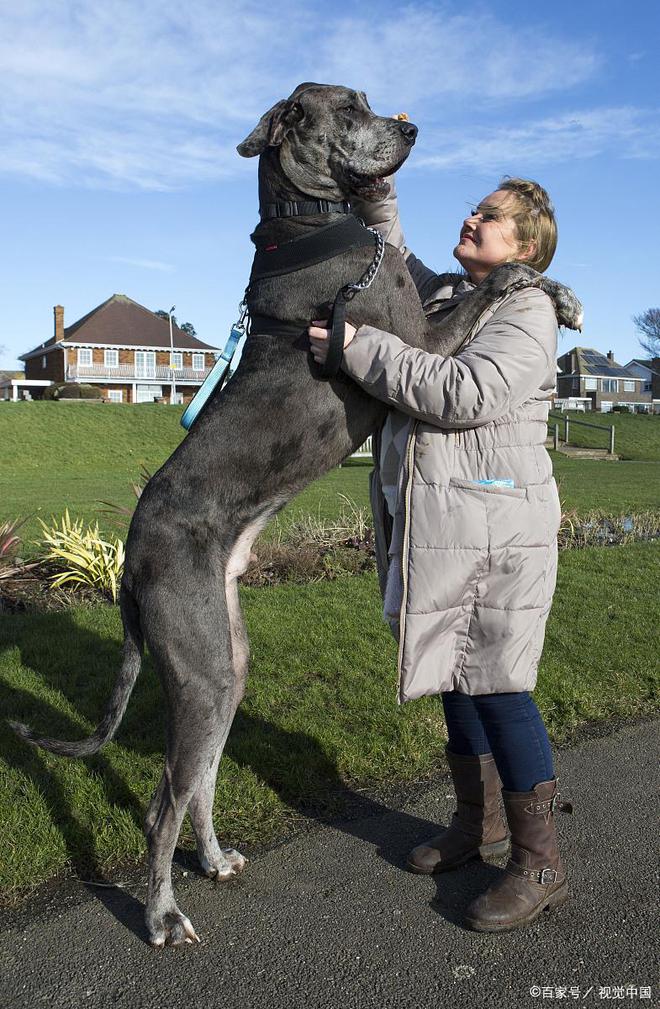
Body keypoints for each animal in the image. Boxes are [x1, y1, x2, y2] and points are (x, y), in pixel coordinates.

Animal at [9, 84, 581, 944]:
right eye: (346, 108)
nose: (412, 127)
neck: (308, 218)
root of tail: (130, 558)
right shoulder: (420, 339)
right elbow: (493, 276)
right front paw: (546, 284)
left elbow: (487, 274)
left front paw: (563, 296)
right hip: (203, 667)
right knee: (162, 803)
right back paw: (162, 913)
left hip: (226, 661)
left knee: (202, 778)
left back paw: (214, 861)